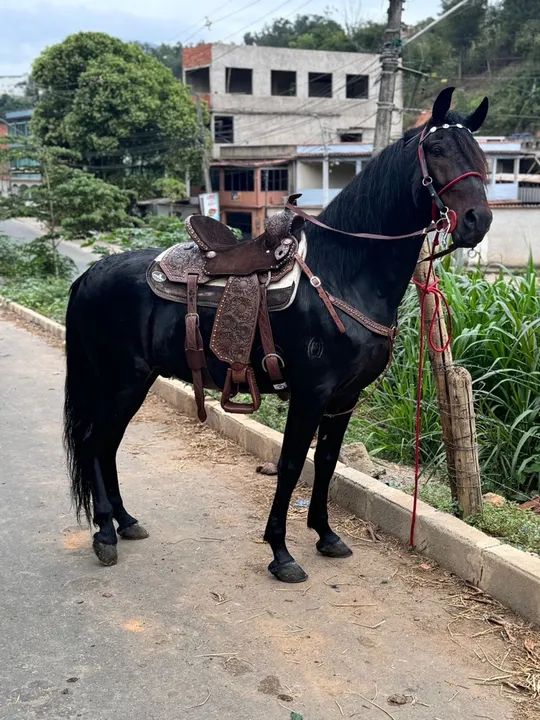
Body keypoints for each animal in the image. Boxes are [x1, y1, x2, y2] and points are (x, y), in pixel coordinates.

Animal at [64, 87, 492, 582]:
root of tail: (90, 273)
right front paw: (281, 552)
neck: (344, 273)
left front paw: (326, 535)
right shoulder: (311, 393)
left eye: (479, 153)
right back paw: (104, 533)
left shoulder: (344, 398)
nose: (477, 220)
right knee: (94, 443)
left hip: (135, 381)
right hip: (121, 380)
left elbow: (326, 464)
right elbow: (290, 465)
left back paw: (125, 521)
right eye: (437, 148)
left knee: (107, 445)